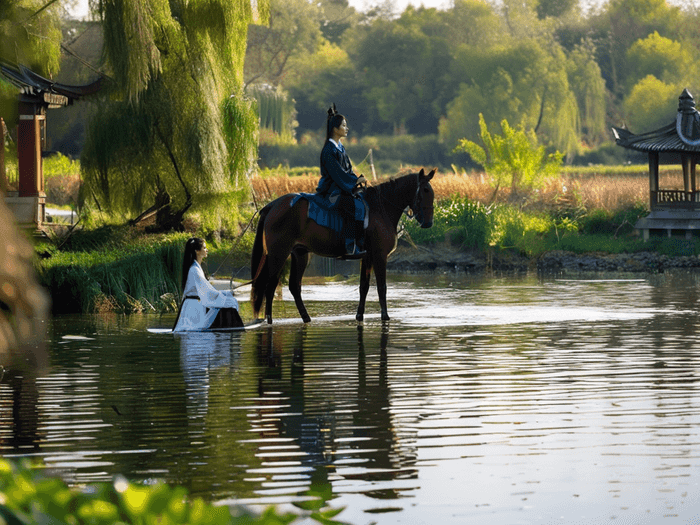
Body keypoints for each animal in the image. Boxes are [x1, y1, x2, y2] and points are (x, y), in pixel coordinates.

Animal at [252, 168, 434, 324]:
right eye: (425, 191)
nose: (428, 223)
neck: (381, 208)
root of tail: (272, 205)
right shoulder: (380, 256)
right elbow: (382, 287)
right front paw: (385, 316)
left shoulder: (367, 257)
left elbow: (364, 287)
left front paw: (359, 315)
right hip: (279, 254)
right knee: (270, 286)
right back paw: (270, 320)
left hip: (300, 254)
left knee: (294, 286)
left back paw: (306, 318)